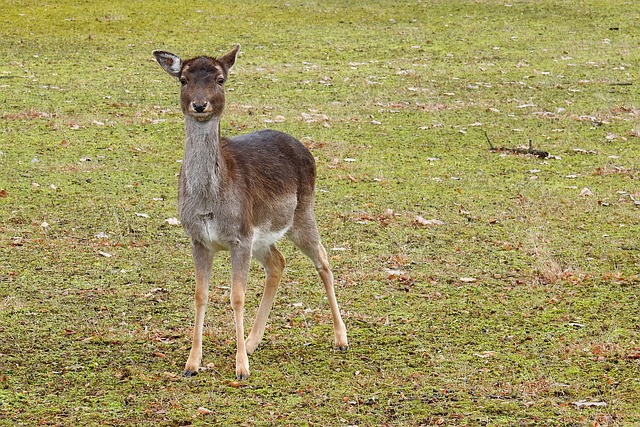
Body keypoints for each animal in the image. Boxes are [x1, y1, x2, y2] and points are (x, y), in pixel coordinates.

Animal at [152, 45, 348, 382]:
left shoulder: (239, 237)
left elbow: (237, 296)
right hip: (262, 237)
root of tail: (304, 148)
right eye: (183, 80)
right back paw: (252, 341)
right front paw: (191, 364)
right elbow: (200, 294)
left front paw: (241, 368)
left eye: (220, 79)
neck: (209, 203)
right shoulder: (198, 239)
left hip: (302, 213)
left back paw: (341, 338)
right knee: (278, 262)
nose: (199, 104)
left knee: (323, 259)